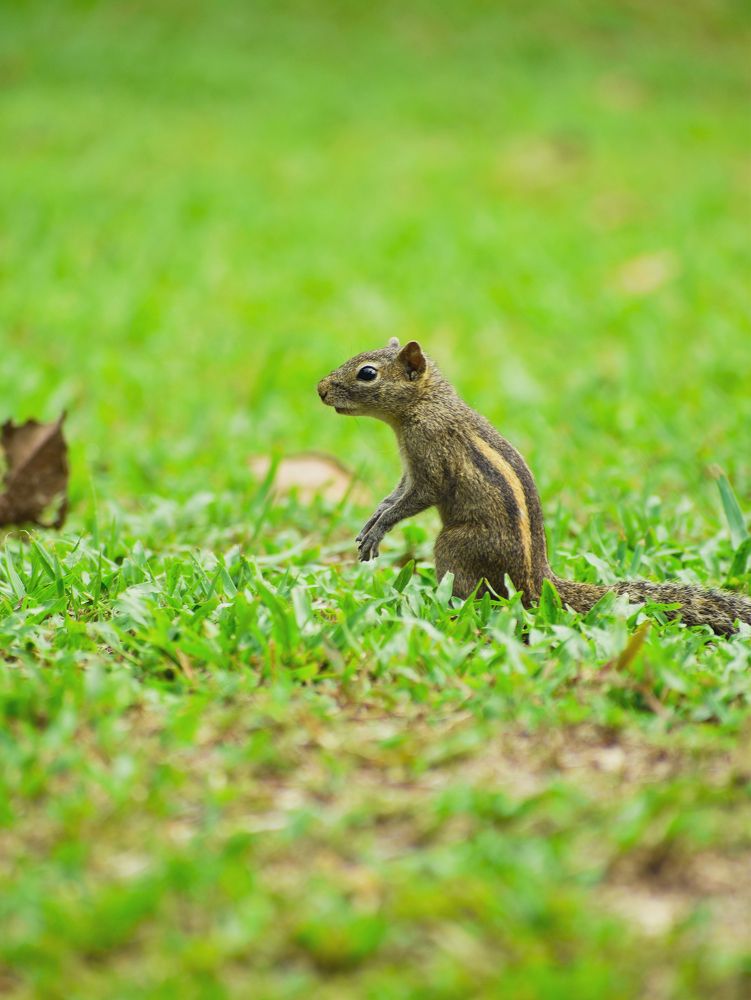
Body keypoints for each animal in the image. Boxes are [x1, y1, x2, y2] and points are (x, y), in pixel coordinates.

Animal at [317, 338, 751, 636]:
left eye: (367, 373)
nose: (320, 389)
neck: (426, 403)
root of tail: (538, 581)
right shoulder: (409, 470)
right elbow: (394, 496)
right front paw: (373, 519)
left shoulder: (431, 463)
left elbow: (413, 500)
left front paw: (380, 529)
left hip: (453, 546)